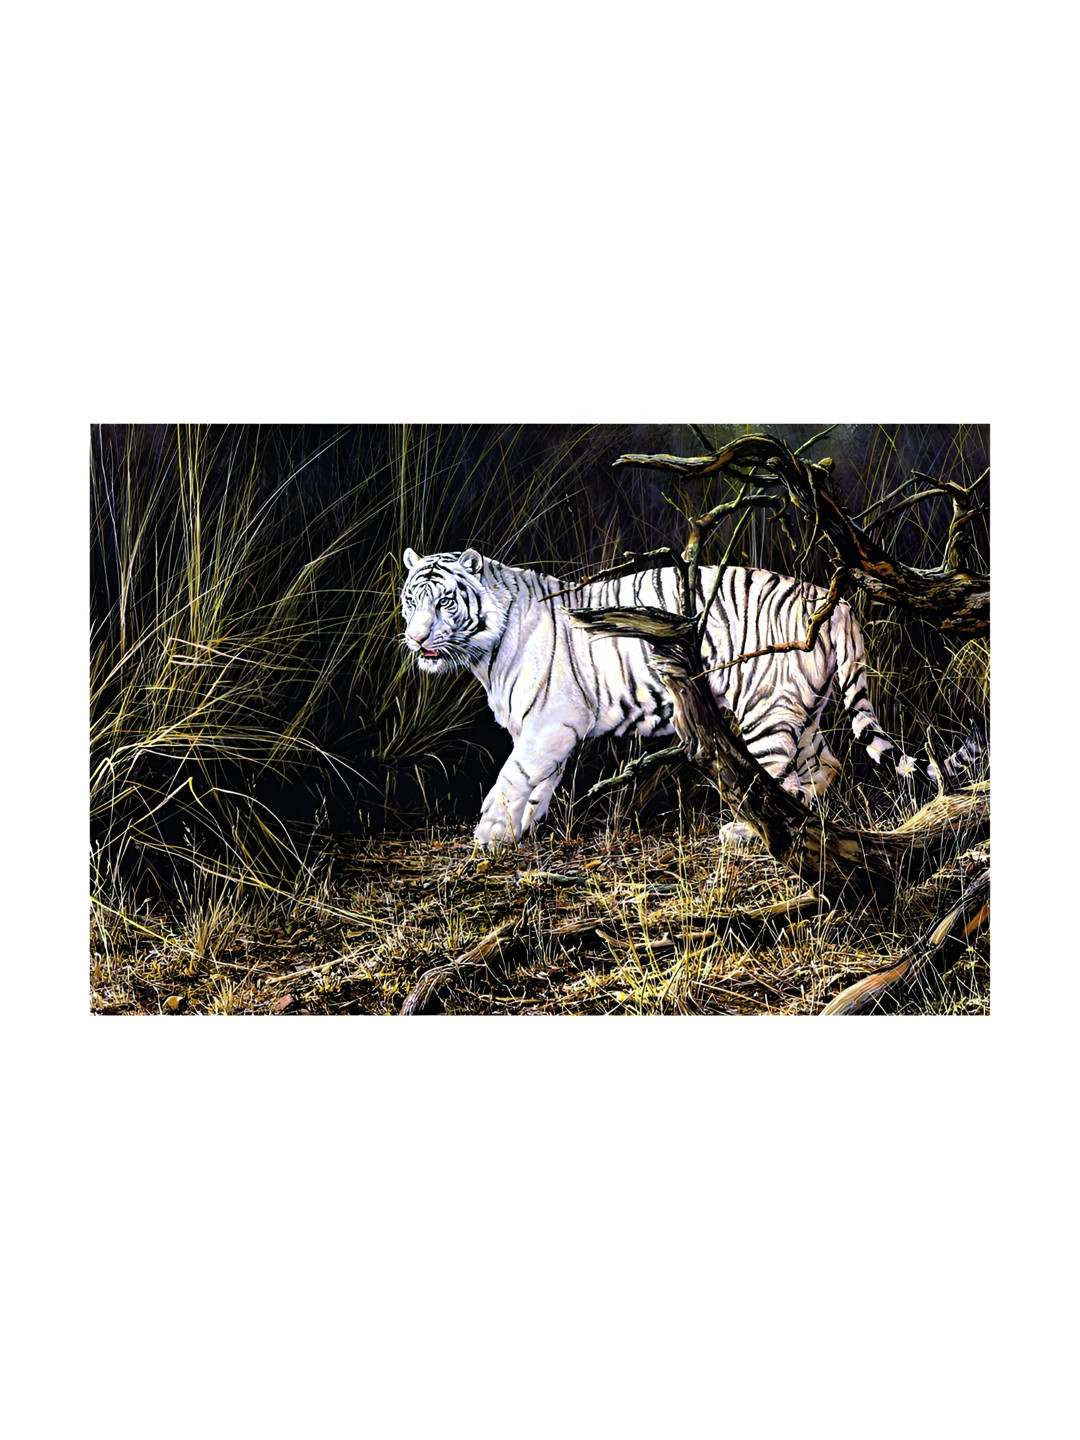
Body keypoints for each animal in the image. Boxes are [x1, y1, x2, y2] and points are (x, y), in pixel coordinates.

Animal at [400, 547, 928, 847]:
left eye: (444, 601)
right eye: (410, 600)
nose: (417, 638)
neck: (482, 653)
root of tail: (832, 602)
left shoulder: (552, 722)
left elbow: (513, 778)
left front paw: (488, 834)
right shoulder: (544, 732)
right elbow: (537, 784)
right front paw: (520, 831)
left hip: (766, 709)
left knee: (778, 779)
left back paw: (744, 832)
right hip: (804, 711)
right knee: (826, 766)